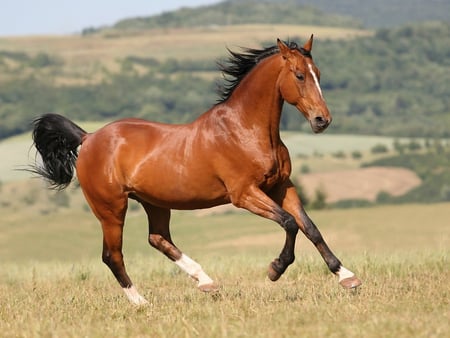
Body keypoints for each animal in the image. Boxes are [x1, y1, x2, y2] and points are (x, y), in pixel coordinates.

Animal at [29, 35, 362, 304]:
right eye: (300, 75)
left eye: (318, 74)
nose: (322, 120)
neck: (245, 129)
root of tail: (88, 138)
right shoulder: (244, 194)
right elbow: (290, 224)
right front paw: (275, 270)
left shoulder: (281, 186)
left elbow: (310, 227)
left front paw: (347, 276)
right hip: (111, 208)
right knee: (113, 255)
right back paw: (142, 302)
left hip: (154, 202)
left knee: (158, 239)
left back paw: (206, 282)